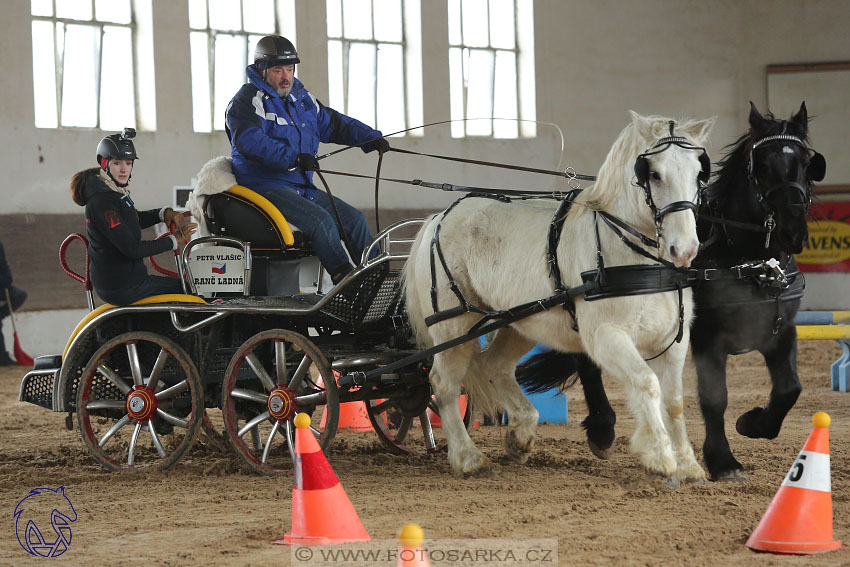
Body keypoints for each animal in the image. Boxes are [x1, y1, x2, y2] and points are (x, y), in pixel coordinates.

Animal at [404, 112, 716, 484]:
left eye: (699, 172)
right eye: (653, 173)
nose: (684, 250)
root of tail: (438, 218)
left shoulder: (674, 338)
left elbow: (675, 401)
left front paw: (689, 465)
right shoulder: (606, 337)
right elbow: (646, 383)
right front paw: (659, 456)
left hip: (517, 322)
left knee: (495, 365)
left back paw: (521, 434)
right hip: (454, 324)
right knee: (445, 384)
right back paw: (468, 458)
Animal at [512, 101, 824, 480]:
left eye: (808, 163)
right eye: (761, 164)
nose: (793, 232)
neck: (749, 262)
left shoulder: (782, 330)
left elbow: (789, 388)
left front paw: (754, 424)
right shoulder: (707, 337)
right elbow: (714, 398)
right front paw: (722, 461)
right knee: (589, 361)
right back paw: (602, 429)